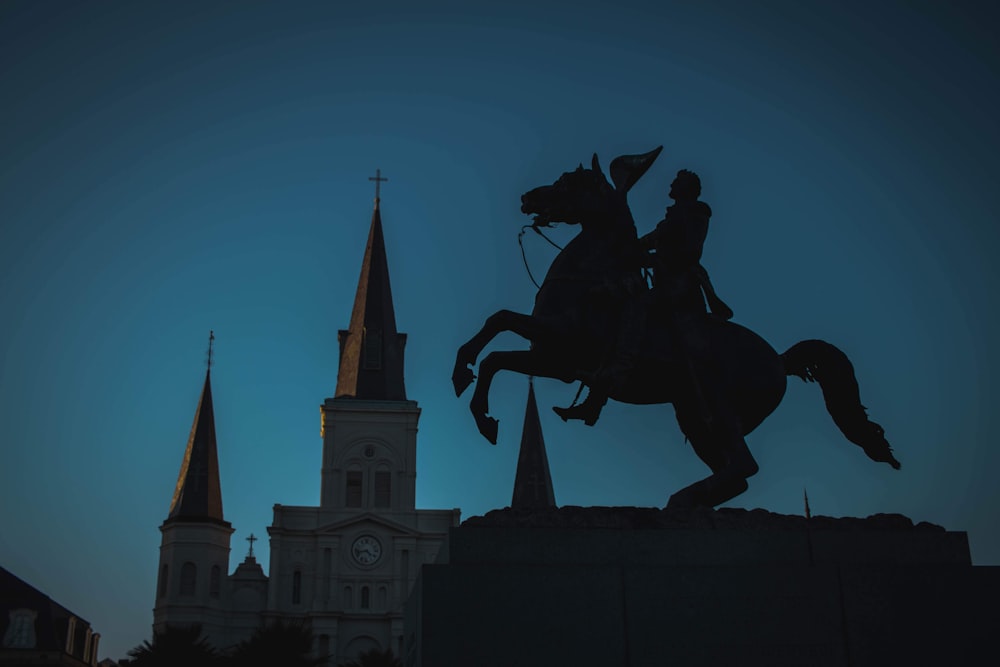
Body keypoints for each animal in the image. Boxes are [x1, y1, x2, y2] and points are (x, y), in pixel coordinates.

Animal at [454, 149, 900, 508]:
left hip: (716, 407)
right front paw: (470, 387)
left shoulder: (563, 350)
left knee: (743, 465)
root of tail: (779, 358)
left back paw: (680, 499)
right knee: (736, 474)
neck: (587, 277)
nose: (529, 197)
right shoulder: (549, 355)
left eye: (569, 180)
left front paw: (478, 405)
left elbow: (498, 338)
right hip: (693, 416)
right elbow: (497, 334)